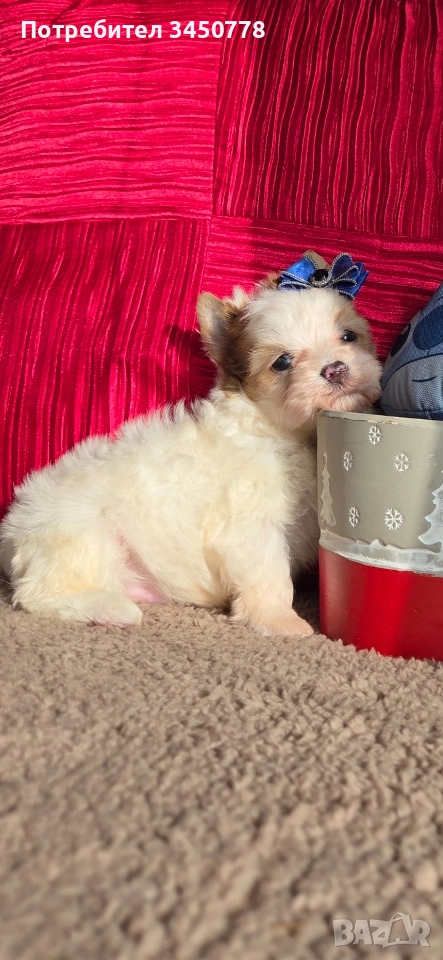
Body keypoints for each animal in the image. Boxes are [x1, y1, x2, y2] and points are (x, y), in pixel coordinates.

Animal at [0, 262, 382, 636]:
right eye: (282, 363)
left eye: (348, 336)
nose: (336, 369)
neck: (284, 431)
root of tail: (13, 530)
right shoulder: (250, 525)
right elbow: (271, 574)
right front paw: (280, 621)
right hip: (81, 532)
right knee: (39, 593)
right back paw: (113, 610)